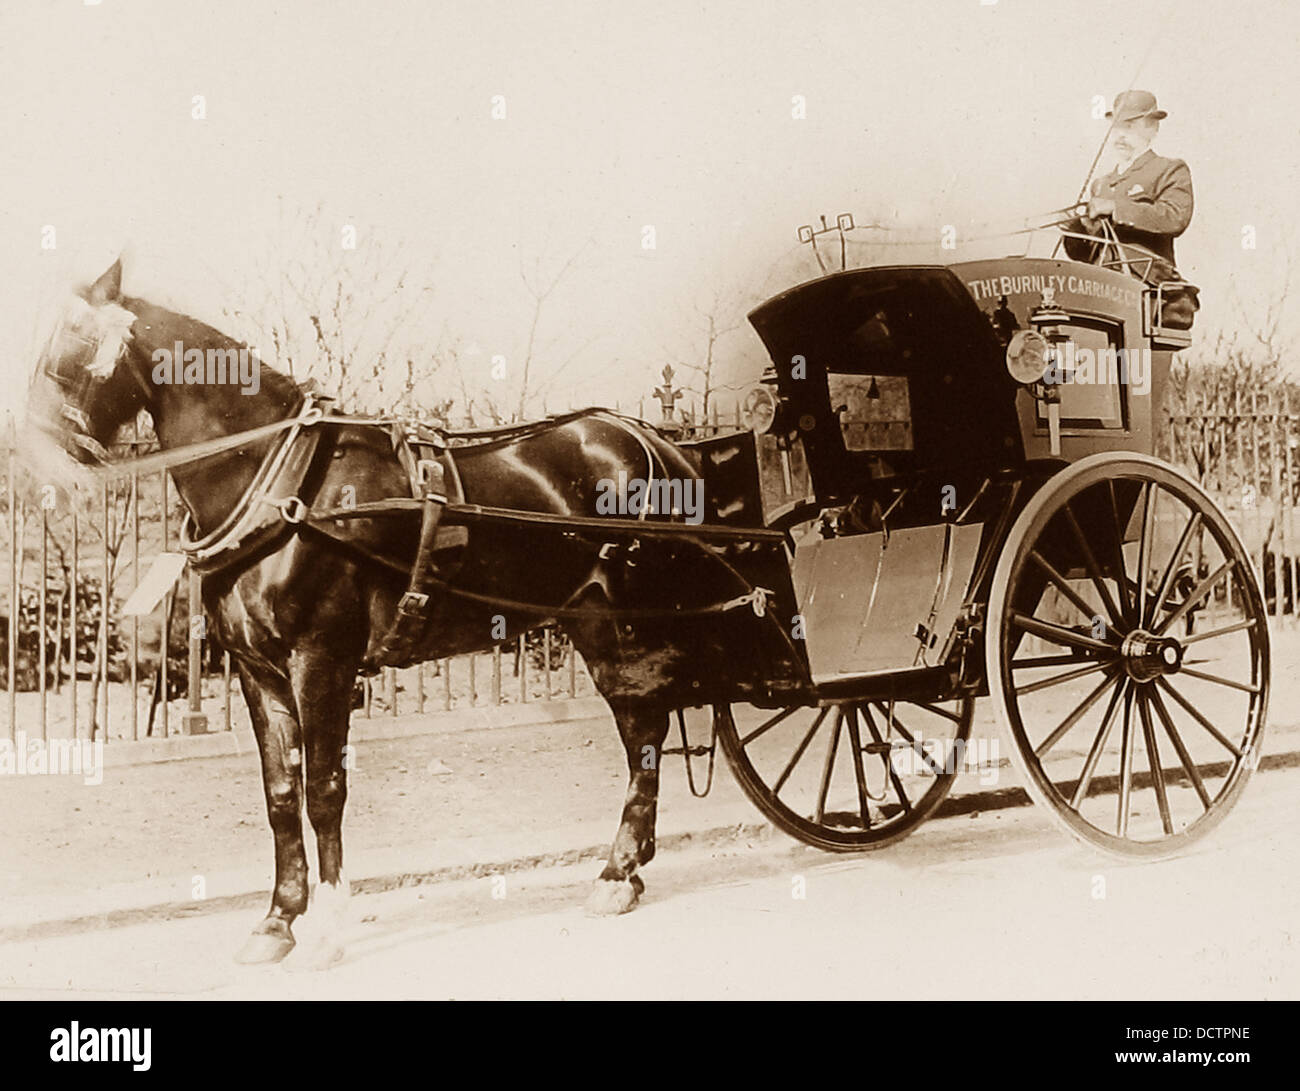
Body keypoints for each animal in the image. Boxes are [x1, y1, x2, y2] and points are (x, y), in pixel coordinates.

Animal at [27, 258, 800, 972]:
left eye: (74, 341)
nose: (36, 455)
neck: (283, 483)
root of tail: (656, 440)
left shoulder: (322, 661)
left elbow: (323, 792)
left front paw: (328, 927)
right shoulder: (256, 669)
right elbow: (279, 794)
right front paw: (277, 920)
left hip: (638, 619)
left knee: (658, 720)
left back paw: (627, 865)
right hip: (599, 624)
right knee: (642, 726)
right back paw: (622, 871)